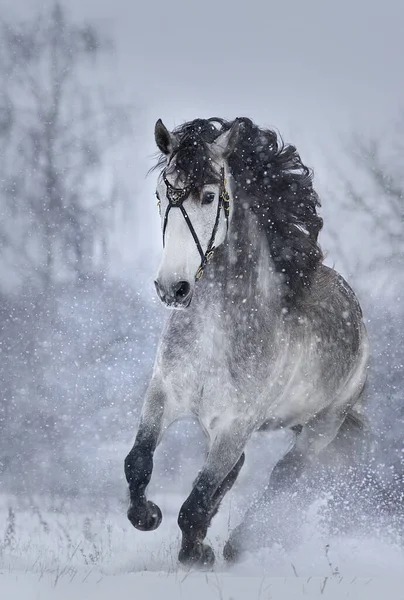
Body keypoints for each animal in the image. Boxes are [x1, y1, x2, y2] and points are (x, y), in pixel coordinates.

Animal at [124, 117, 370, 568]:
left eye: (208, 196)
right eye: (160, 194)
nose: (172, 288)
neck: (214, 336)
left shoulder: (235, 424)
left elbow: (197, 499)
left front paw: (197, 553)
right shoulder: (163, 396)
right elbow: (138, 462)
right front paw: (148, 516)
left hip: (321, 427)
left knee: (283, 479)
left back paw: (240, 543)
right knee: (235, 472)